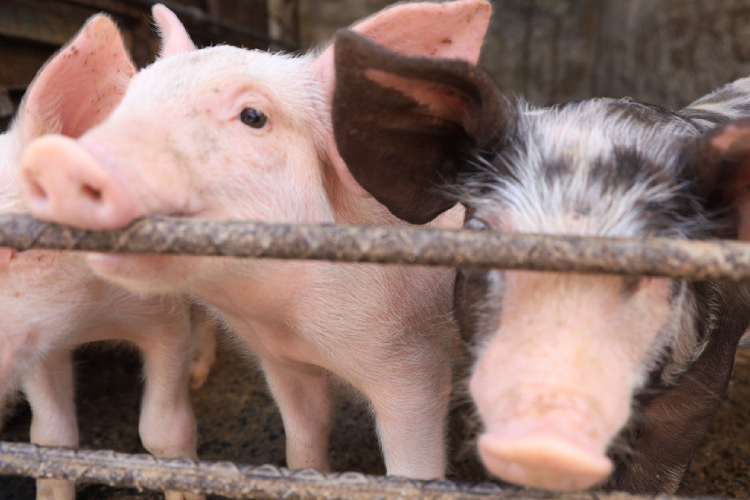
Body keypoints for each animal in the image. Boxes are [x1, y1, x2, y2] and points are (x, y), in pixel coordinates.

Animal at [0, 14, 215, 500]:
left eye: (17, 246)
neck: (91, 318)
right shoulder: (37, 341)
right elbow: (50, 439)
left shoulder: (165, 317)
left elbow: (163, 432)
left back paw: (200, 375)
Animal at [18, 0, 492, 479]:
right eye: (127, 103)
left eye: (252, 116)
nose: (56, 156)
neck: (290, 326)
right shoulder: (282, 365)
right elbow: (303, 445)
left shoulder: (414, 368)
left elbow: (412, 475)